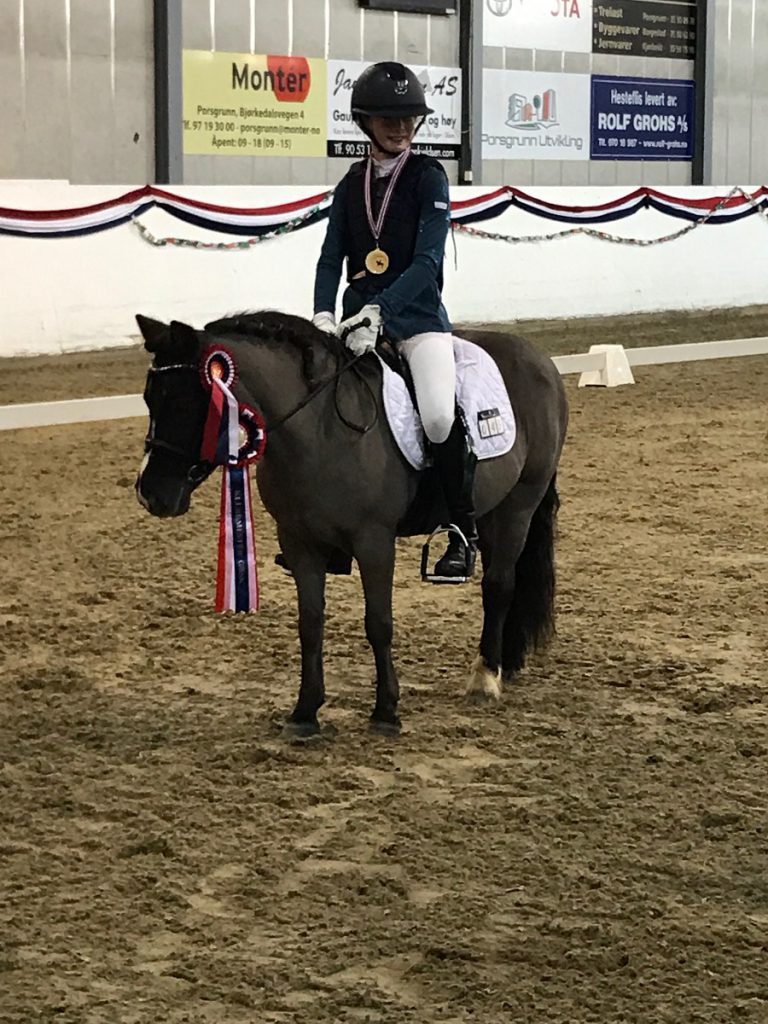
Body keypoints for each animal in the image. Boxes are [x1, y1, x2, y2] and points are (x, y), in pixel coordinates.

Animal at [135, 311, 568, 736]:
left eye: (187, 401)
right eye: (149, 399)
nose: (149, 493)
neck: (319, 429)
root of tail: (540, 358)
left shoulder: (374, 542)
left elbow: (379, 623)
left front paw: (386, 711)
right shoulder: (299, 542)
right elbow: (310, 622)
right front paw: (305, 711)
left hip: (519, 505)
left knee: (499, 586)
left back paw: (486, 677)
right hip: (493, 508)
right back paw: (501, 658)